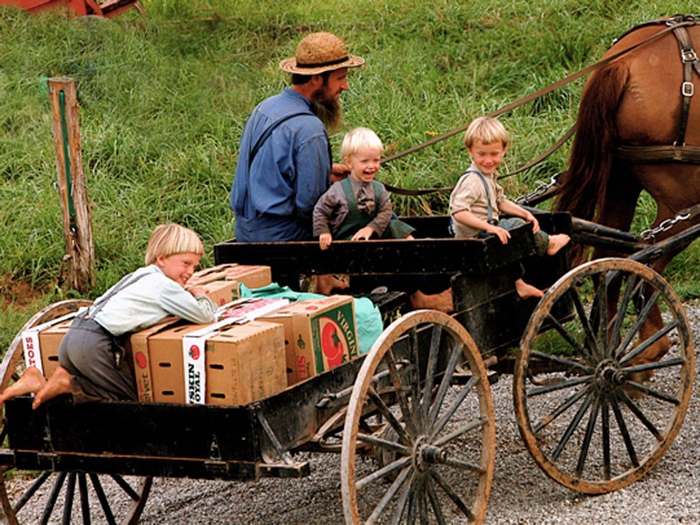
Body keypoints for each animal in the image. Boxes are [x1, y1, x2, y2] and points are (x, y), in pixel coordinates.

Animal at [552, 14, 700, 378]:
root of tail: (621, 62)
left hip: (620, 181)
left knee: (609, 262)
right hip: (681, 201)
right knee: (644, 264)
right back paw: (645, 353)